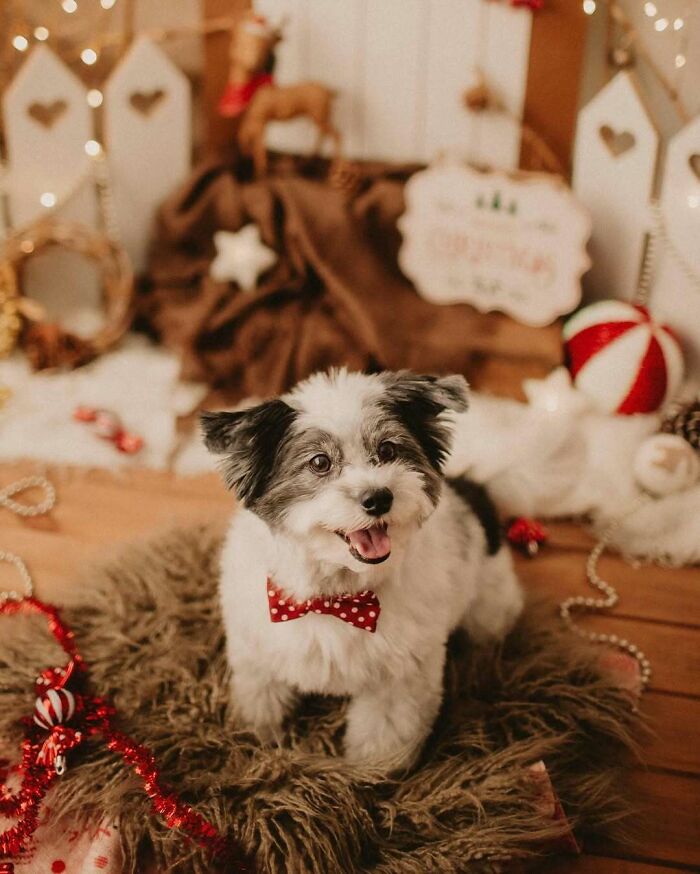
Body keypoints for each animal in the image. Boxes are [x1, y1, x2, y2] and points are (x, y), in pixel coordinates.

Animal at [200, 368, 524, 768]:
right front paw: (255, 743)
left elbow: (382, 738)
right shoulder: (257, 655)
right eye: (319, 462)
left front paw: (367, 777)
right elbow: (260, 701)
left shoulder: (398, 681)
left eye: (387, 450)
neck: (335, 595)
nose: (379, 498)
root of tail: (475, 490)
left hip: (489, 611)